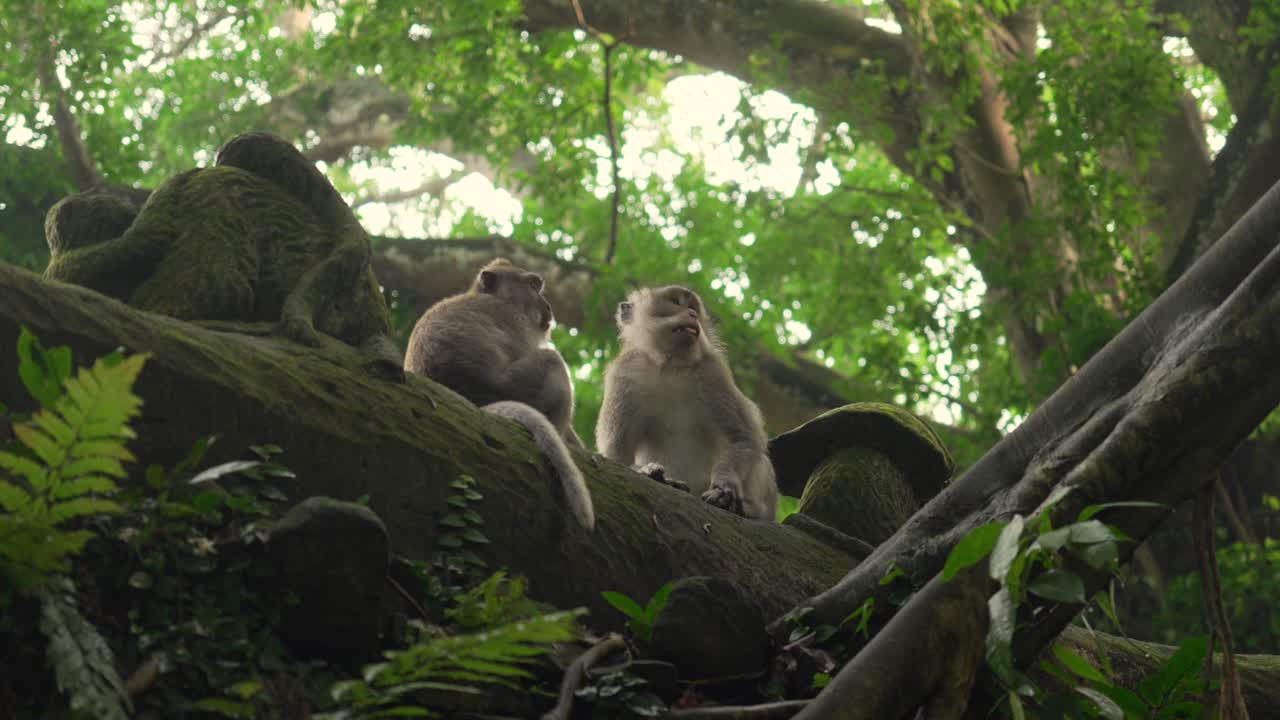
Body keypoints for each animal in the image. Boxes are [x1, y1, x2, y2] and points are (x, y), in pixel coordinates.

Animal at [404, 258, 594, 530]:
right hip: (518, 386)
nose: (548, 305)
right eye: (534, 286)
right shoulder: (514, 321)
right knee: (552, 360)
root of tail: (472, 397)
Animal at [596, 285, 778, 521]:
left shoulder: (712, 372)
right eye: (675, 302)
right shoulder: (626, 372)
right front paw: (647, 471)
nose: (692, 314)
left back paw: (749, 509)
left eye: (692, 307)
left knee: (760, 460)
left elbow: (742, 438)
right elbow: (617, 454)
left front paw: (723, 485)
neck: (671, 365)